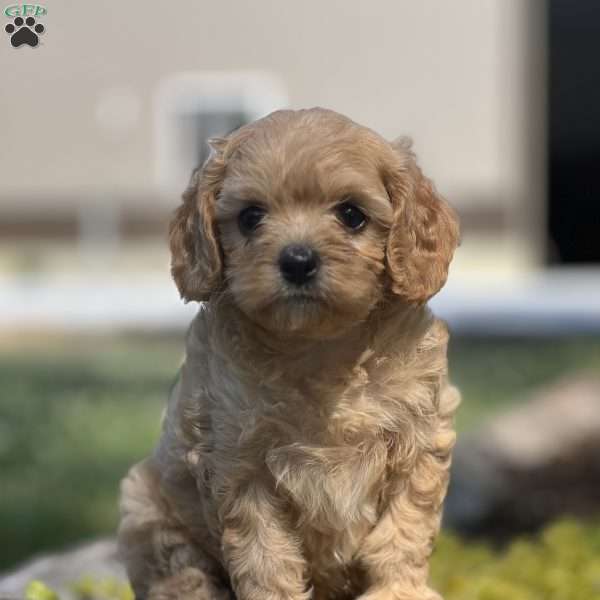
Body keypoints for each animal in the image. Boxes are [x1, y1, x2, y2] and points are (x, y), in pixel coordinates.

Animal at [119, 108, 462, 600]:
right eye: (250, 217)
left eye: (352, 215)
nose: (297, 261)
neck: (319, 347)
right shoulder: (241, 467)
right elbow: (265, 557)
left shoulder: (418, 443)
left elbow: (403, 532)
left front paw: (399, 592)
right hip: (146, 509)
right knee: (183, 575)